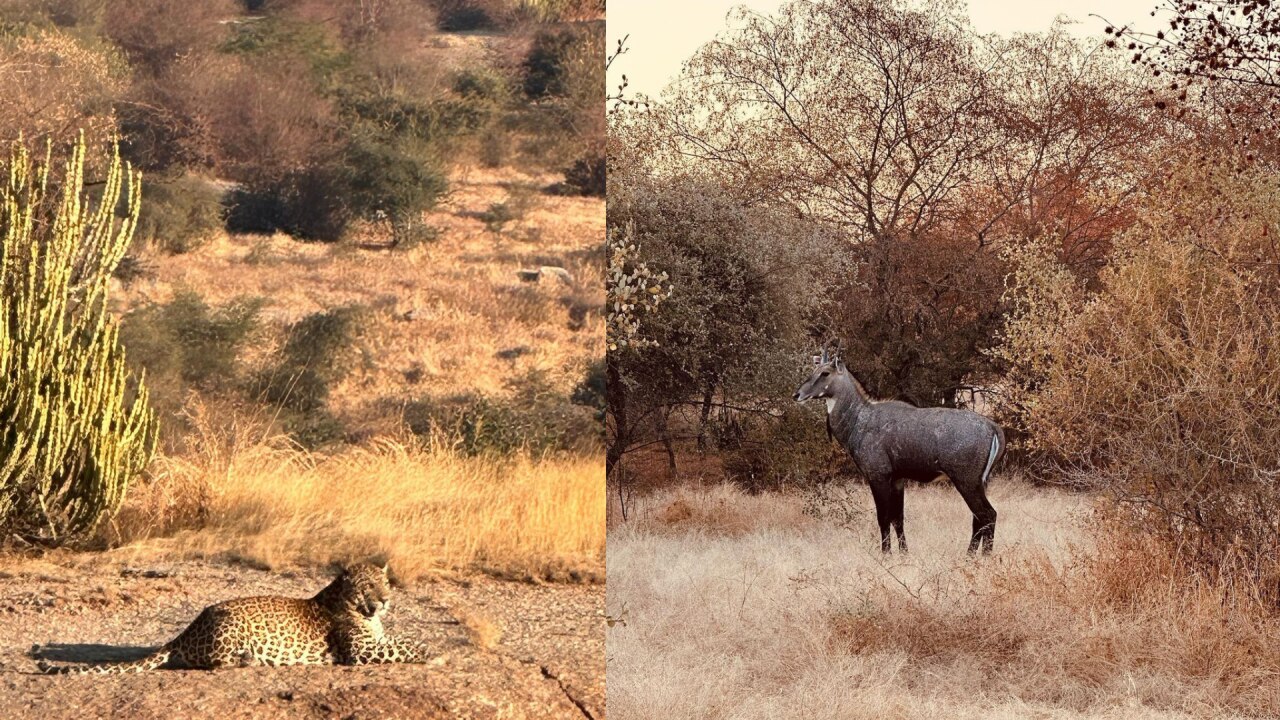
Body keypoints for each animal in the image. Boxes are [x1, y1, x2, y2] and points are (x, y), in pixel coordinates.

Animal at [32, 558, 424, 671]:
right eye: (368, 586)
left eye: (385, 583)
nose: (385, 601)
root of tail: (188, 630)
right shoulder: (358, 651)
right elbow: (404, 646)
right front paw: (427, 649)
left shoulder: (377, 639)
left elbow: (397, 639)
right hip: (231, 625)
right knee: (215, 662)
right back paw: (248, 660)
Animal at [793, 348, 1003, 556]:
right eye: (813, 370)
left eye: (825, 373)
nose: (797, 394)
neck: (859, 419)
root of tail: (993, 428)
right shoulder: (897, 479)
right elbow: (898, 518)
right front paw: (904, 553)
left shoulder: (878, 476)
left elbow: (883, 517)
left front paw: (886, 554)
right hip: (979, 482)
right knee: (979, 518)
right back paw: (973, 556)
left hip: (966, 480)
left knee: (987, 514)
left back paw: (981, 556)